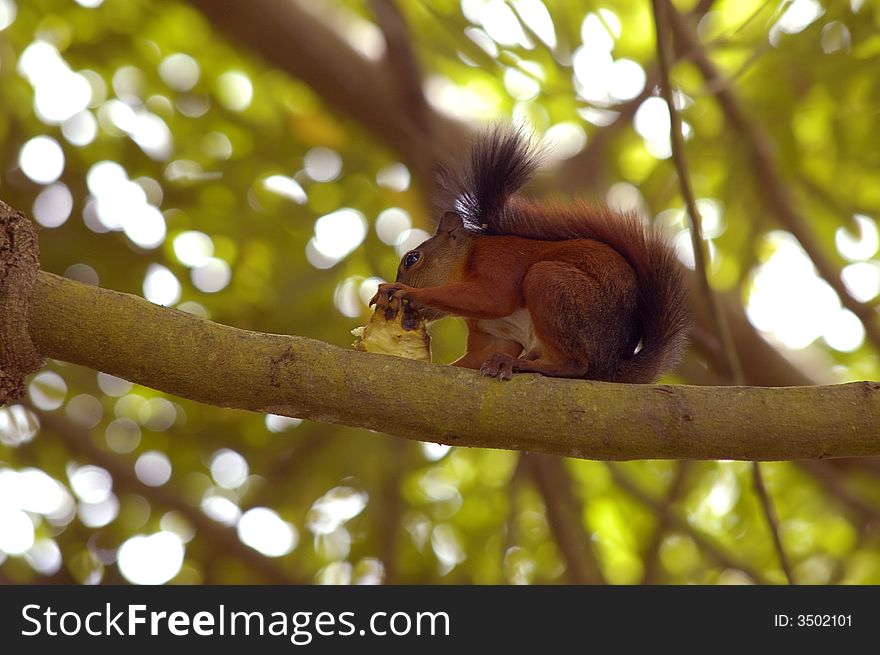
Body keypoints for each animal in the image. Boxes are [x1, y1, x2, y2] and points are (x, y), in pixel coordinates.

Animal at [370, 127, 688, 384]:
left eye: (412, 259)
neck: (466, 260)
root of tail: (612, 367)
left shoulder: (499, 259)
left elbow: (495, 297)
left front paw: (404, 291)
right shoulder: (493, 336)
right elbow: (482, 353)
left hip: (553, 284)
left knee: (575, 365)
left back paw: (520, 365)